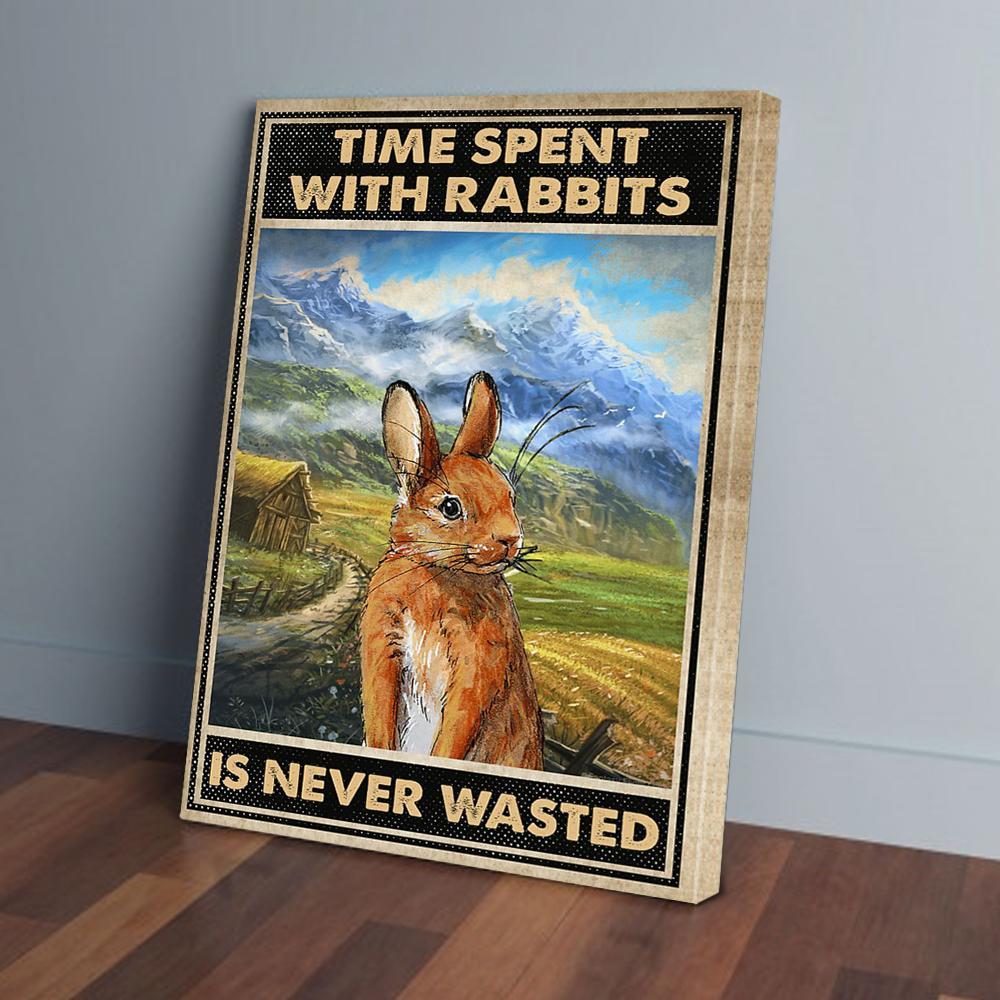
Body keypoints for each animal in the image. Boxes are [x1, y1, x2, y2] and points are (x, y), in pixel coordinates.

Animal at [360, 372, 544, 771]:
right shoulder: (382, 643)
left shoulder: (477, 665)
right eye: (450, 507)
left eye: (509, 496)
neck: (438, 571)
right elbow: (378, 708)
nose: (511, 540)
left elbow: (458, 726)